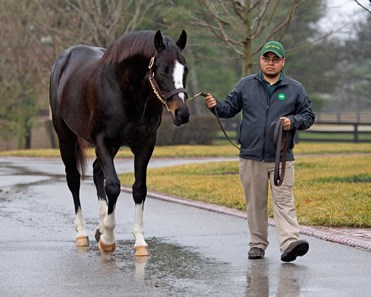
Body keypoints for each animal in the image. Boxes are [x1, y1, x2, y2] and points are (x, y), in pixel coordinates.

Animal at [48, 30, 189, 254]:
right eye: (162, 70)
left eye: (185, 70)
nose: (182, 114)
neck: (125, 90)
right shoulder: (103, 141)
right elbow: (113, 186)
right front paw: (108, 239)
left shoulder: (144, 144)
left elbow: (139, 188)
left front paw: (139, 240)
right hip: (66, 137)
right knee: (74, 179)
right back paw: (82, 232)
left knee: (97, 171)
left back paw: (99, 226)